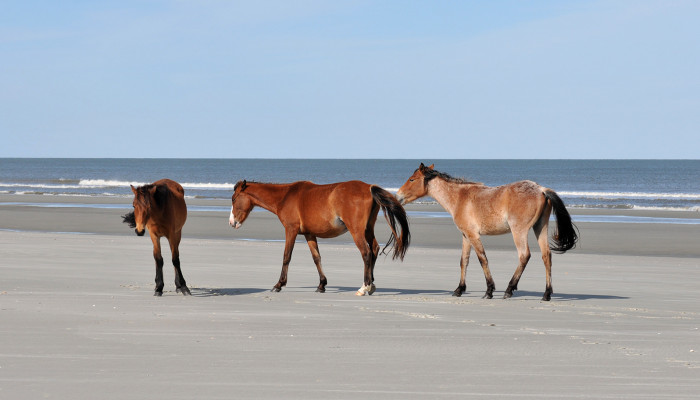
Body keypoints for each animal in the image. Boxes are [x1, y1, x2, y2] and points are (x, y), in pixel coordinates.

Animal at [228, 180, 410, 296]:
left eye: (234, 199)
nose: (232, 222)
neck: (286, 197)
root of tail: (369, 187)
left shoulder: (291, 230)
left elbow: (287, 256)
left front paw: (279, 284)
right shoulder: (309, 234)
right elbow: (317, 258)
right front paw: (322, 284)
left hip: (356, 230)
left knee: (366, 252)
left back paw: (364, 287)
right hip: (368, 229)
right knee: (374, 249)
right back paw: (371, 284)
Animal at [396, 164, 576, 302]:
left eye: (412, 179)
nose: (398, 196)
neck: (459, 197)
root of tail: (541, 189)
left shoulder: (473, 235)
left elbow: (482, 259)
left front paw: (489, 291)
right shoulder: (465, 236)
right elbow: (464, 261)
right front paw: (459, 289)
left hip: (519, 231)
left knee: (524, 255)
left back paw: (509, 290)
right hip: (540, 228)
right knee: (546, 256)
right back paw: (546, 294)